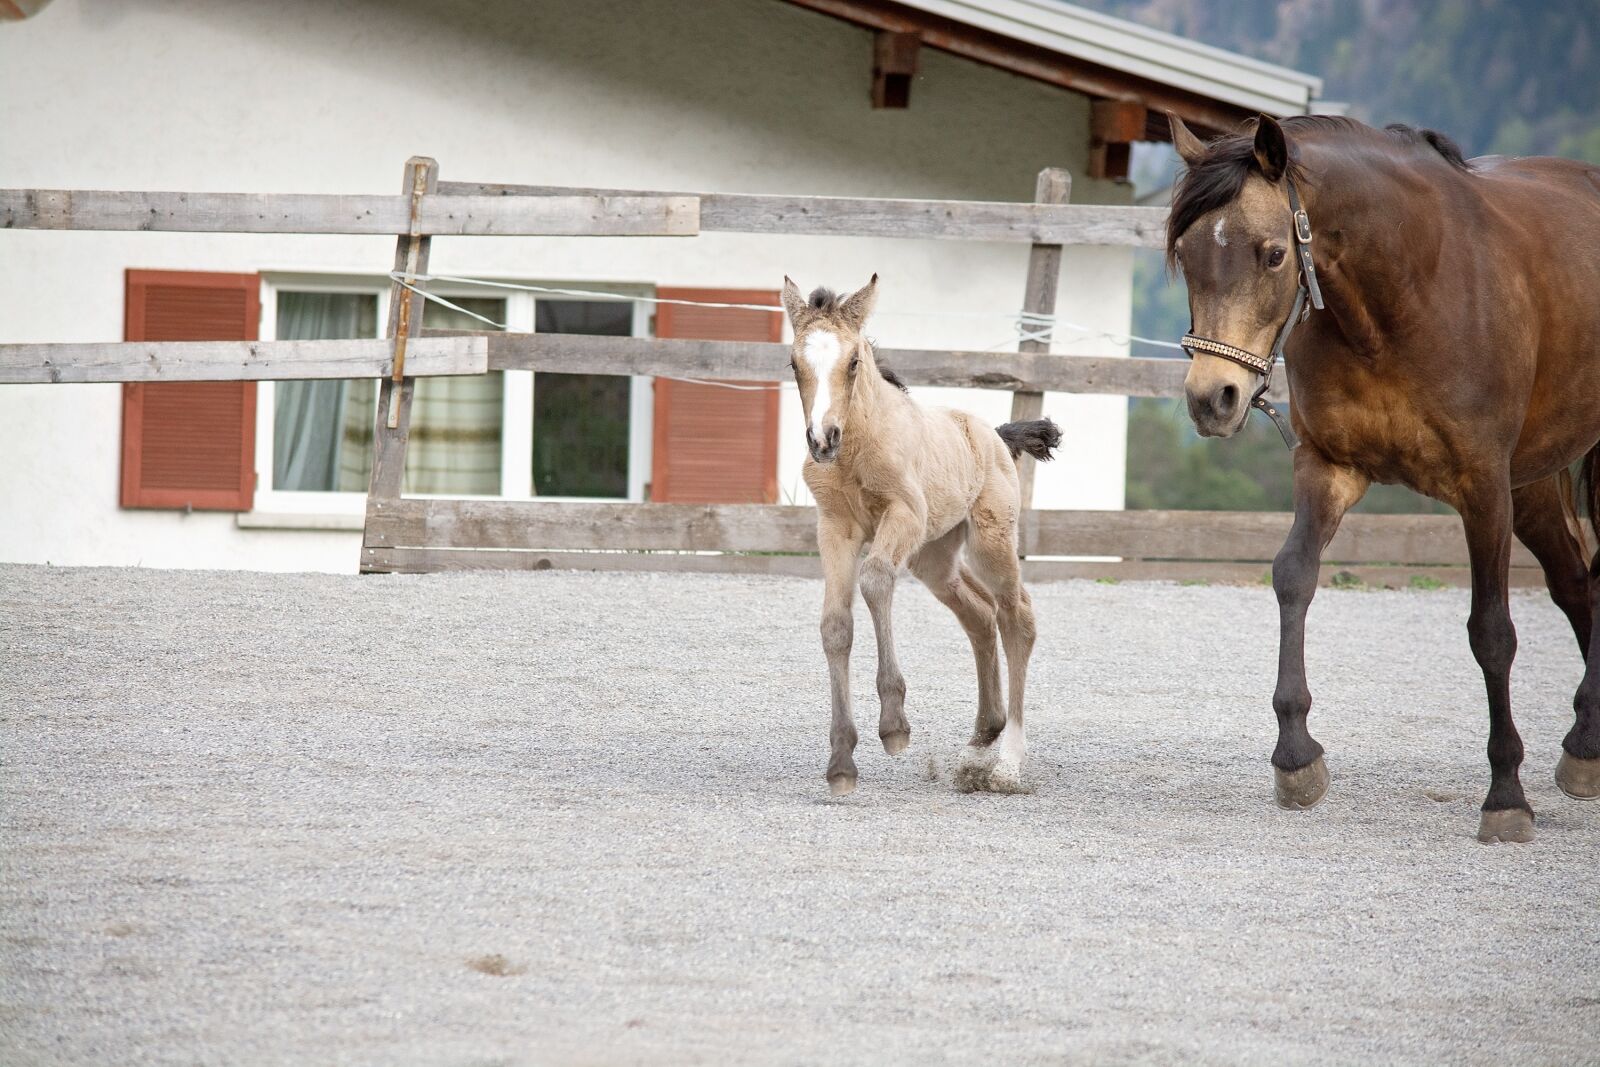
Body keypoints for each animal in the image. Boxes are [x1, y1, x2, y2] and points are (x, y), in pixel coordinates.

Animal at [780, 275, 1062, 796]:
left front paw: (893, 724)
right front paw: (841, 761)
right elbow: (835, 625)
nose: (822, 439)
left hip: (989, 542)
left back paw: (1007, 762)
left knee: (1016, 617)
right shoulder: (835, 528)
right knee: (980, 615)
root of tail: (994, 435)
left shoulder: (903, 514)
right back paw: (979, 743)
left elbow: (874, 580)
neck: (857, 449)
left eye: (853, 362)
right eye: (794, 363)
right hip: (934, 557)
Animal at [1166, 112, 1600, 843]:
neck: (1404, 297)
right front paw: (1297, 757)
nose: (1213, 398)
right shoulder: (1329, 466)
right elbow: (1293, 577)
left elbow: (1492, 631)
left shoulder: (1483, 488)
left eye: (1273, 255)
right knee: (1576, 584)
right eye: (1186, 255)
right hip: (1535, 479)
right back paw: (1584, 746)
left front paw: (1505, 795)